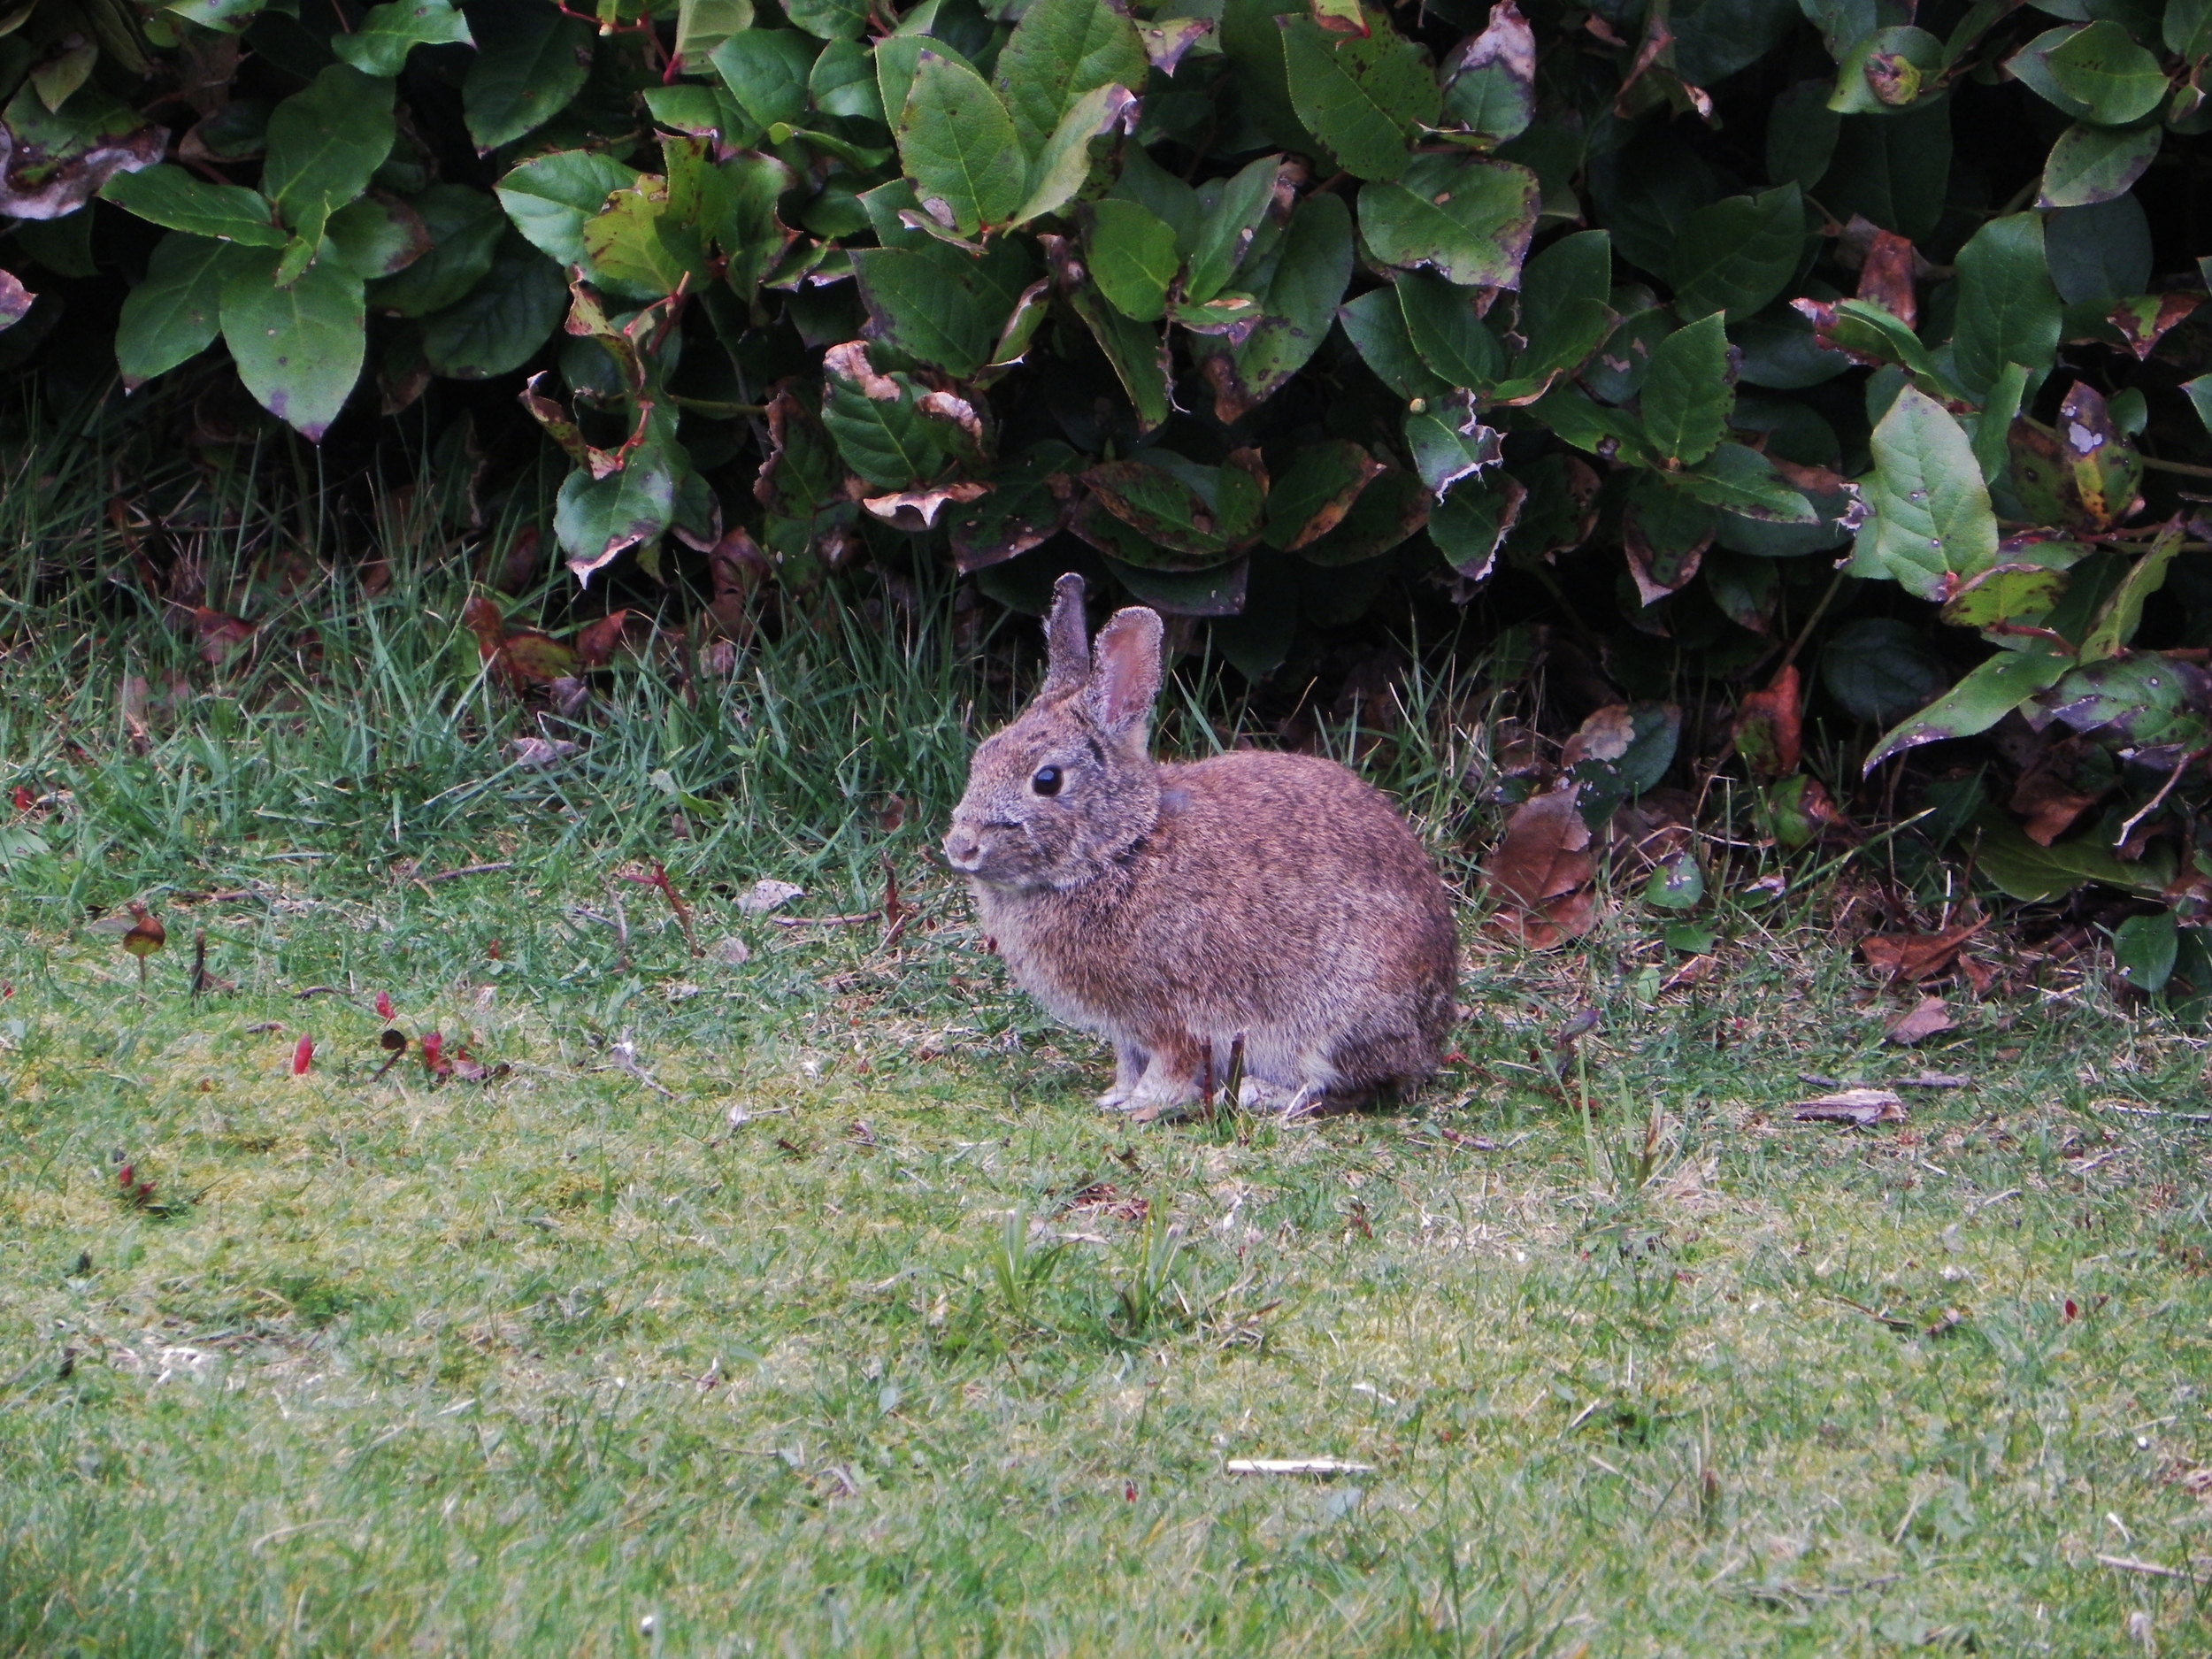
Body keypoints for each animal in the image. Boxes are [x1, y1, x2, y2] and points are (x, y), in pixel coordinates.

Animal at [942, 571, 1460, 1119]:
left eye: (1046, 780)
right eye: (983, 754)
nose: (961, 848)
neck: (1123, 849)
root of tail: (1429, 1042)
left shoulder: (1176, 1015)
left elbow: (1172, 1063)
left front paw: (1146, 1105)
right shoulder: (1127, 1029)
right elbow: (1128, 1060)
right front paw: (1117, 1096)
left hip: (1335, 1018)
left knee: (1344, 1086)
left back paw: (1260, 1092)